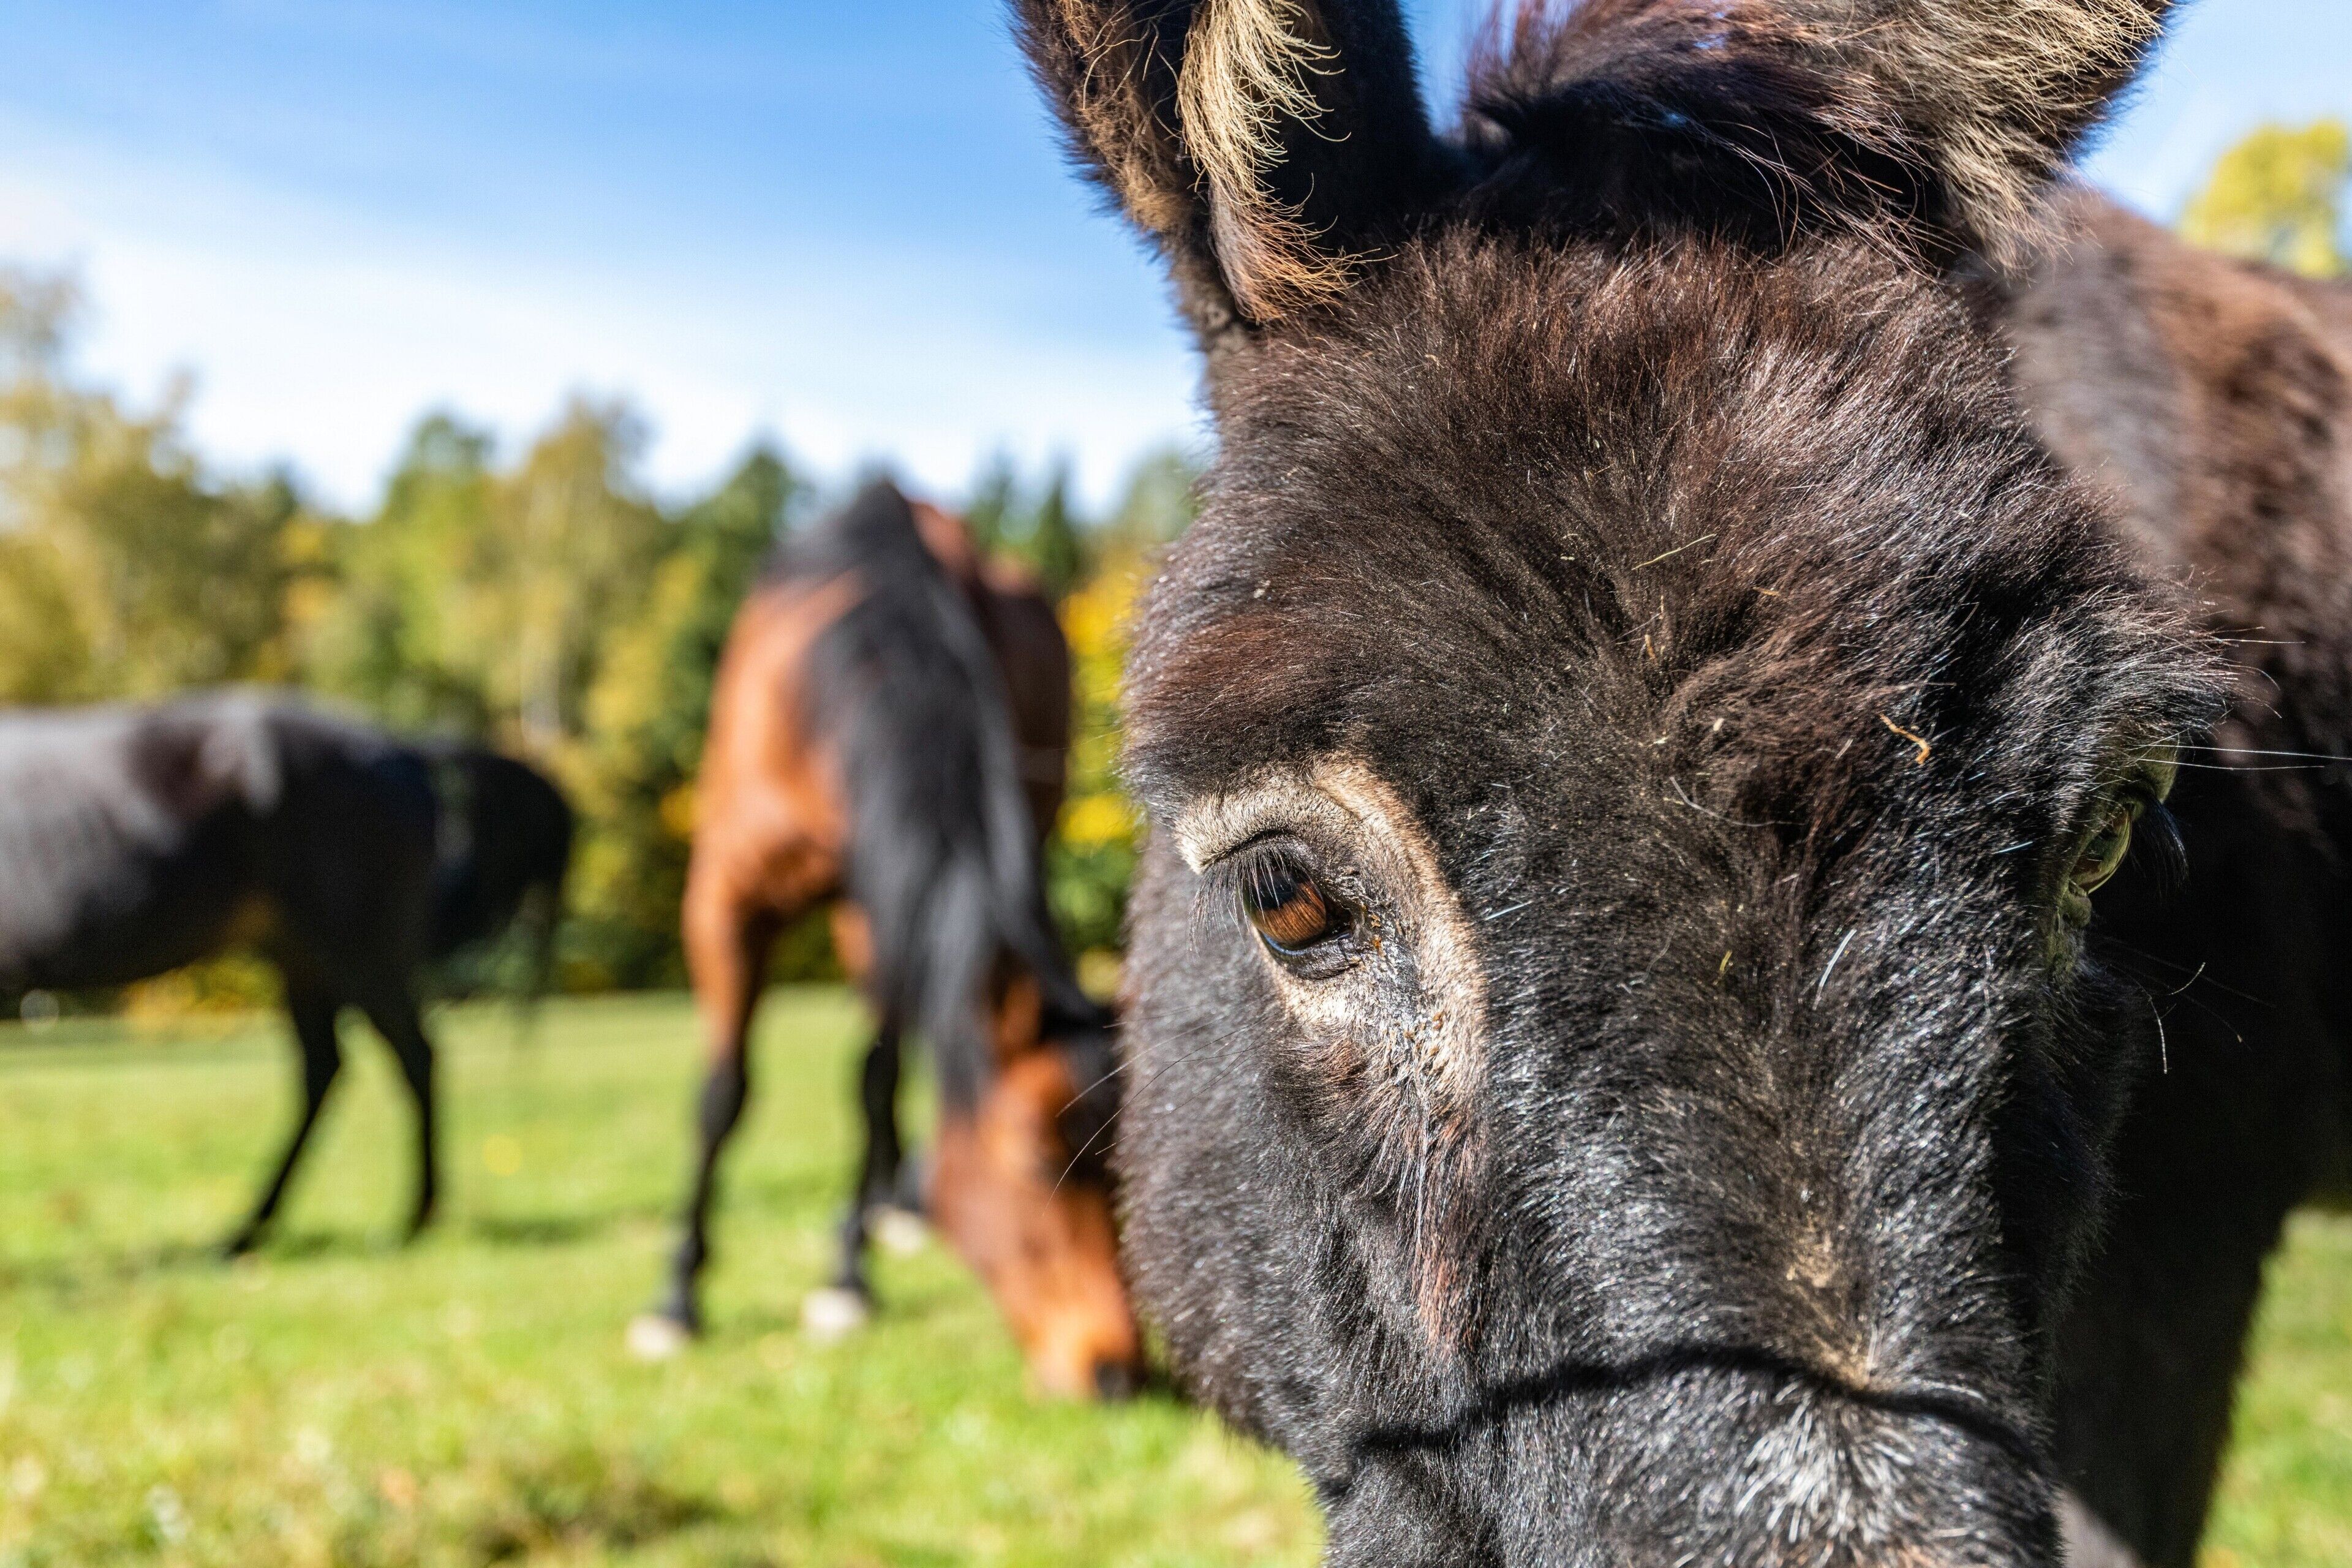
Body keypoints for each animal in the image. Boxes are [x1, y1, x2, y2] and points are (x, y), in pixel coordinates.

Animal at [0, 689, 573, 1253]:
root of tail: (400, 748)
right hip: (302, 955)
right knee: (326, 1068)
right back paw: (254, 1227)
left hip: (358, 945)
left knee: (413, 1057)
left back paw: (410, 1219)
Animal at [628, 480, 1141, 1400]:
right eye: (1034, 1155)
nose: (1117, 1369)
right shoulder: (725, 899)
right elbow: (722, 1094)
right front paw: (678, 1297)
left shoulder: (891, 900)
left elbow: (874, 1080)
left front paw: (846, 1275)